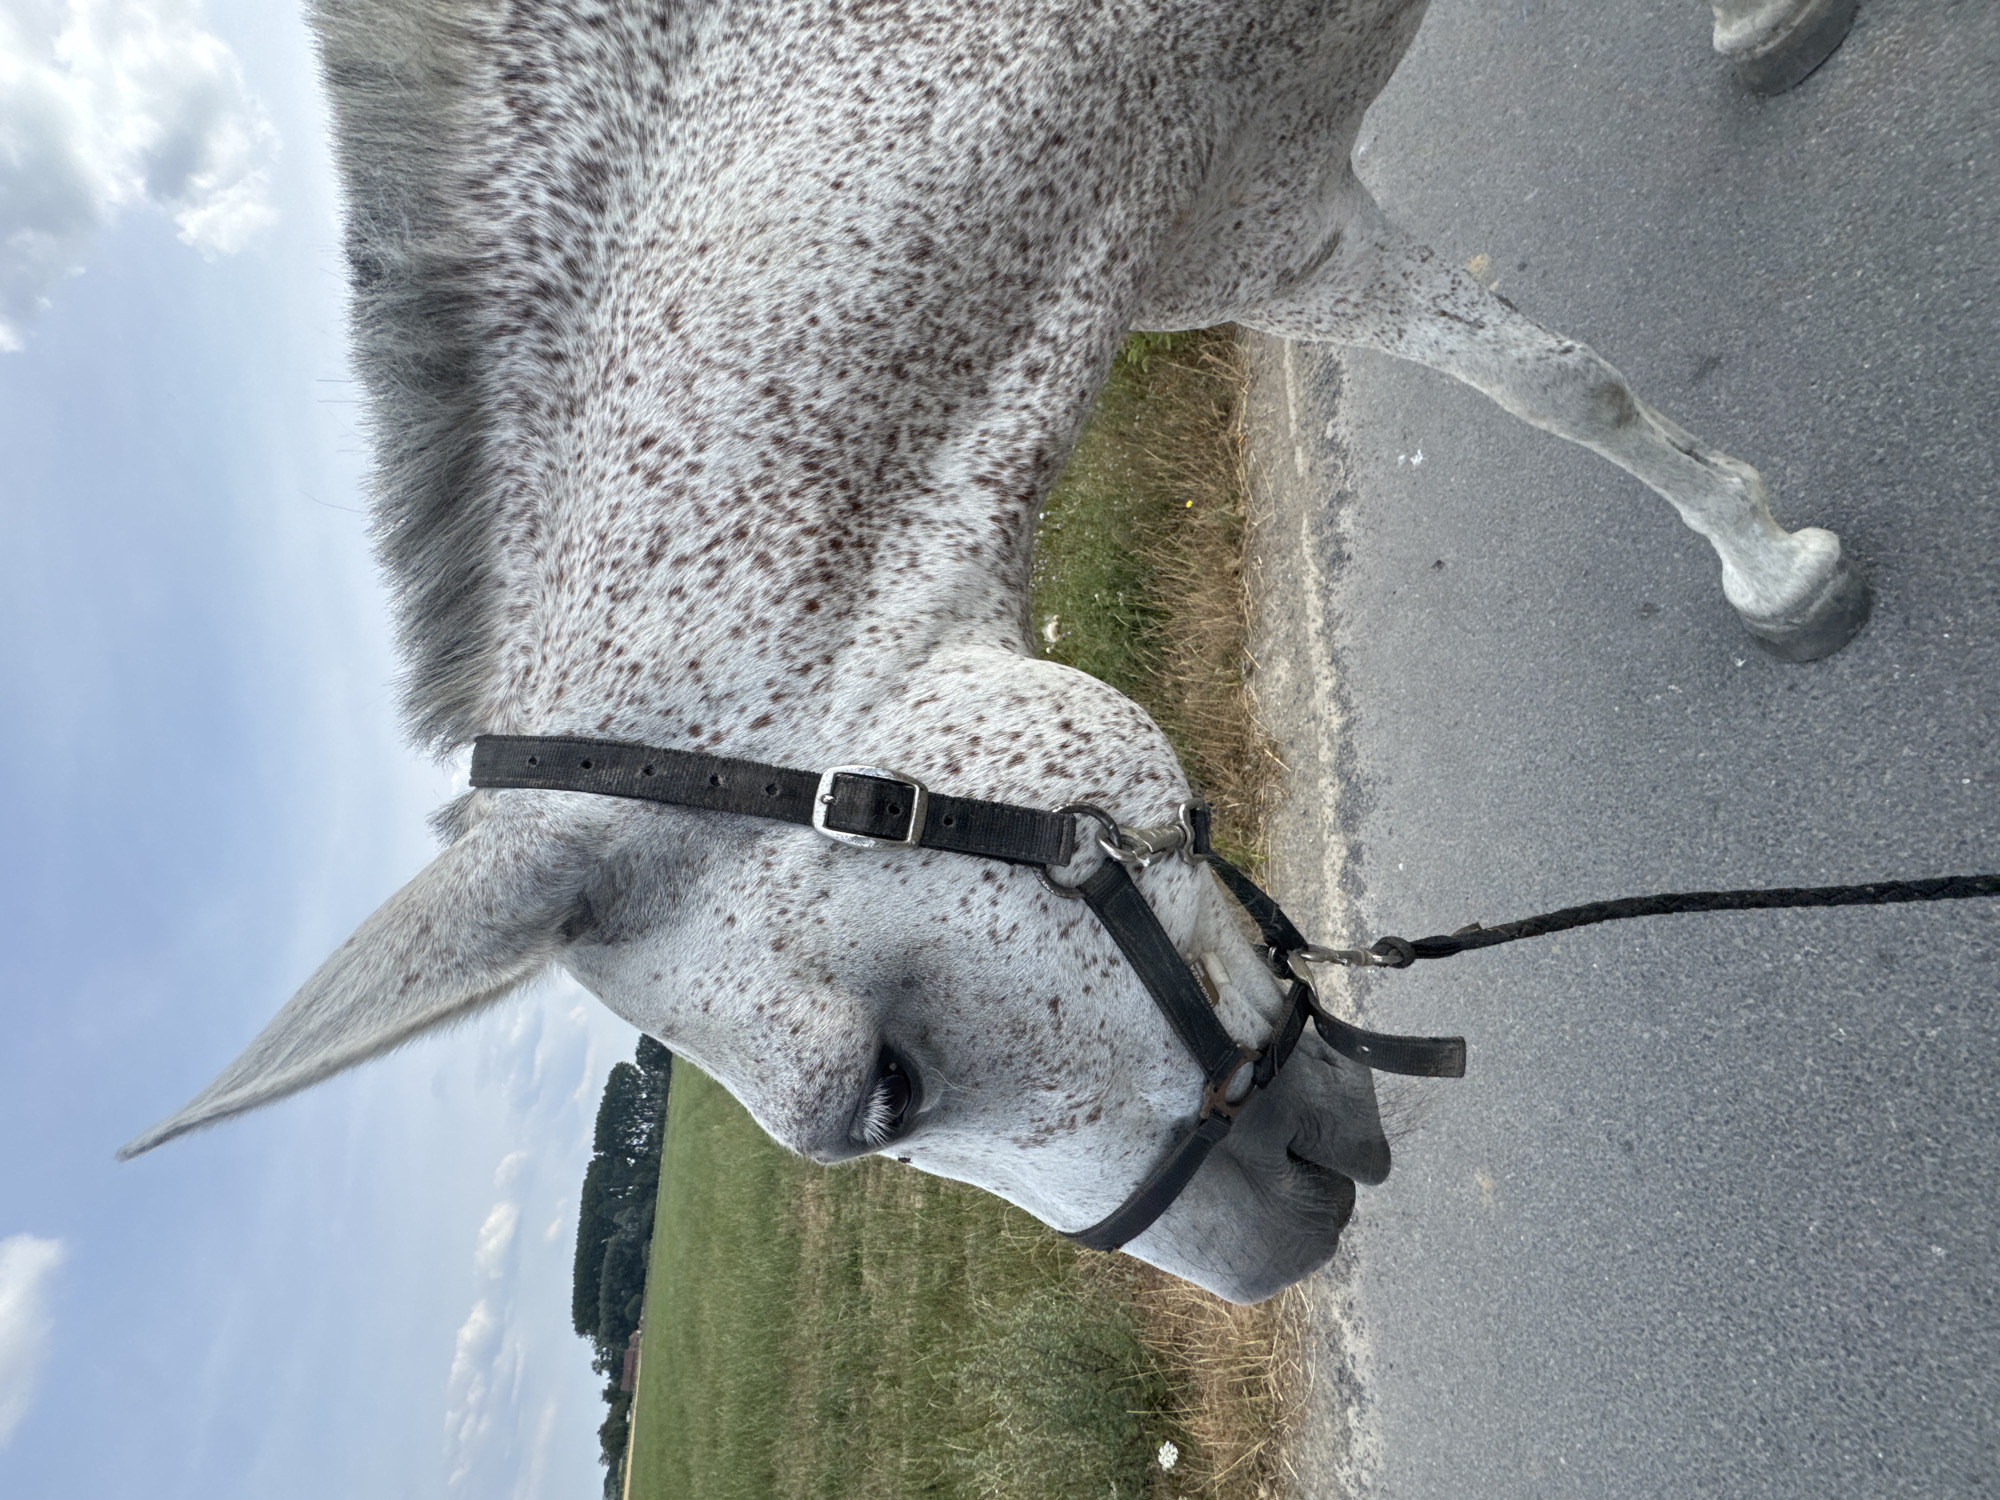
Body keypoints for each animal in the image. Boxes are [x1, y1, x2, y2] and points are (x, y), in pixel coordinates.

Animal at [120, 0, 1866, 1303]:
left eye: (881, 1091)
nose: (1283, 1255)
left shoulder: (1284, 218)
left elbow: (1562, 386)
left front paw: (1778, 571)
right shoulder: (1246, 233)